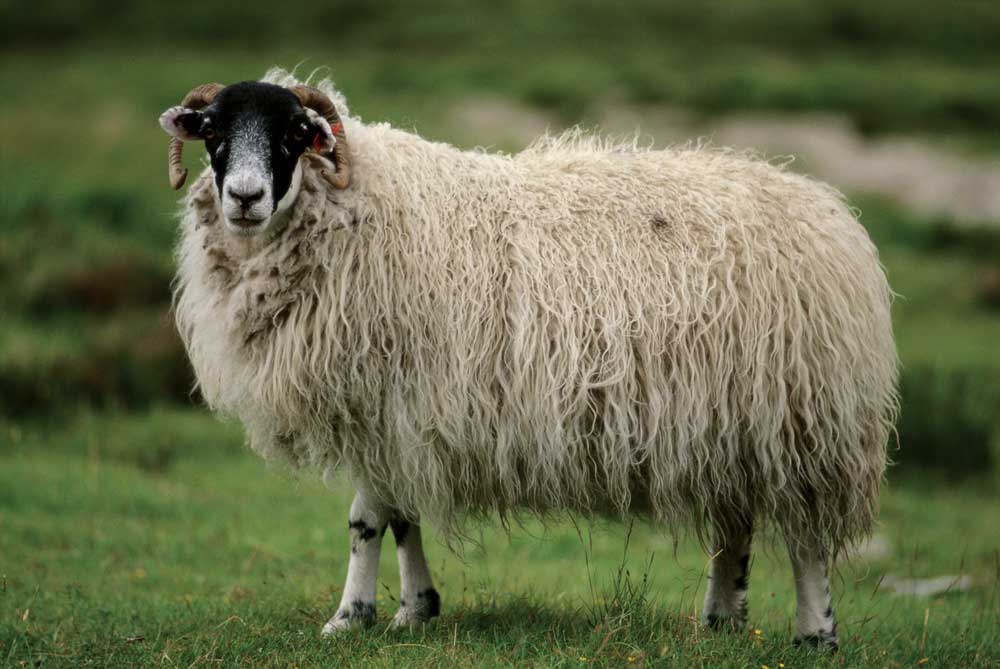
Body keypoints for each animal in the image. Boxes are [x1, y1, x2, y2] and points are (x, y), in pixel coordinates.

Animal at [161, 68, 898, 647]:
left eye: (293, 133)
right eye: (214, 132)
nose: (245, 197)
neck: (364, 207)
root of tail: (828, 210)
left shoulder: (389, 401)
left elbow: (368, 519)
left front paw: (352, 616)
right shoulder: (395, 414)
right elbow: (398, 517)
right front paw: (413, 610)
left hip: (805, 419)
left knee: (806, 537)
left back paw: (815, 632)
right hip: (729, 423)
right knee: (735, 526)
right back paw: (719, 619)